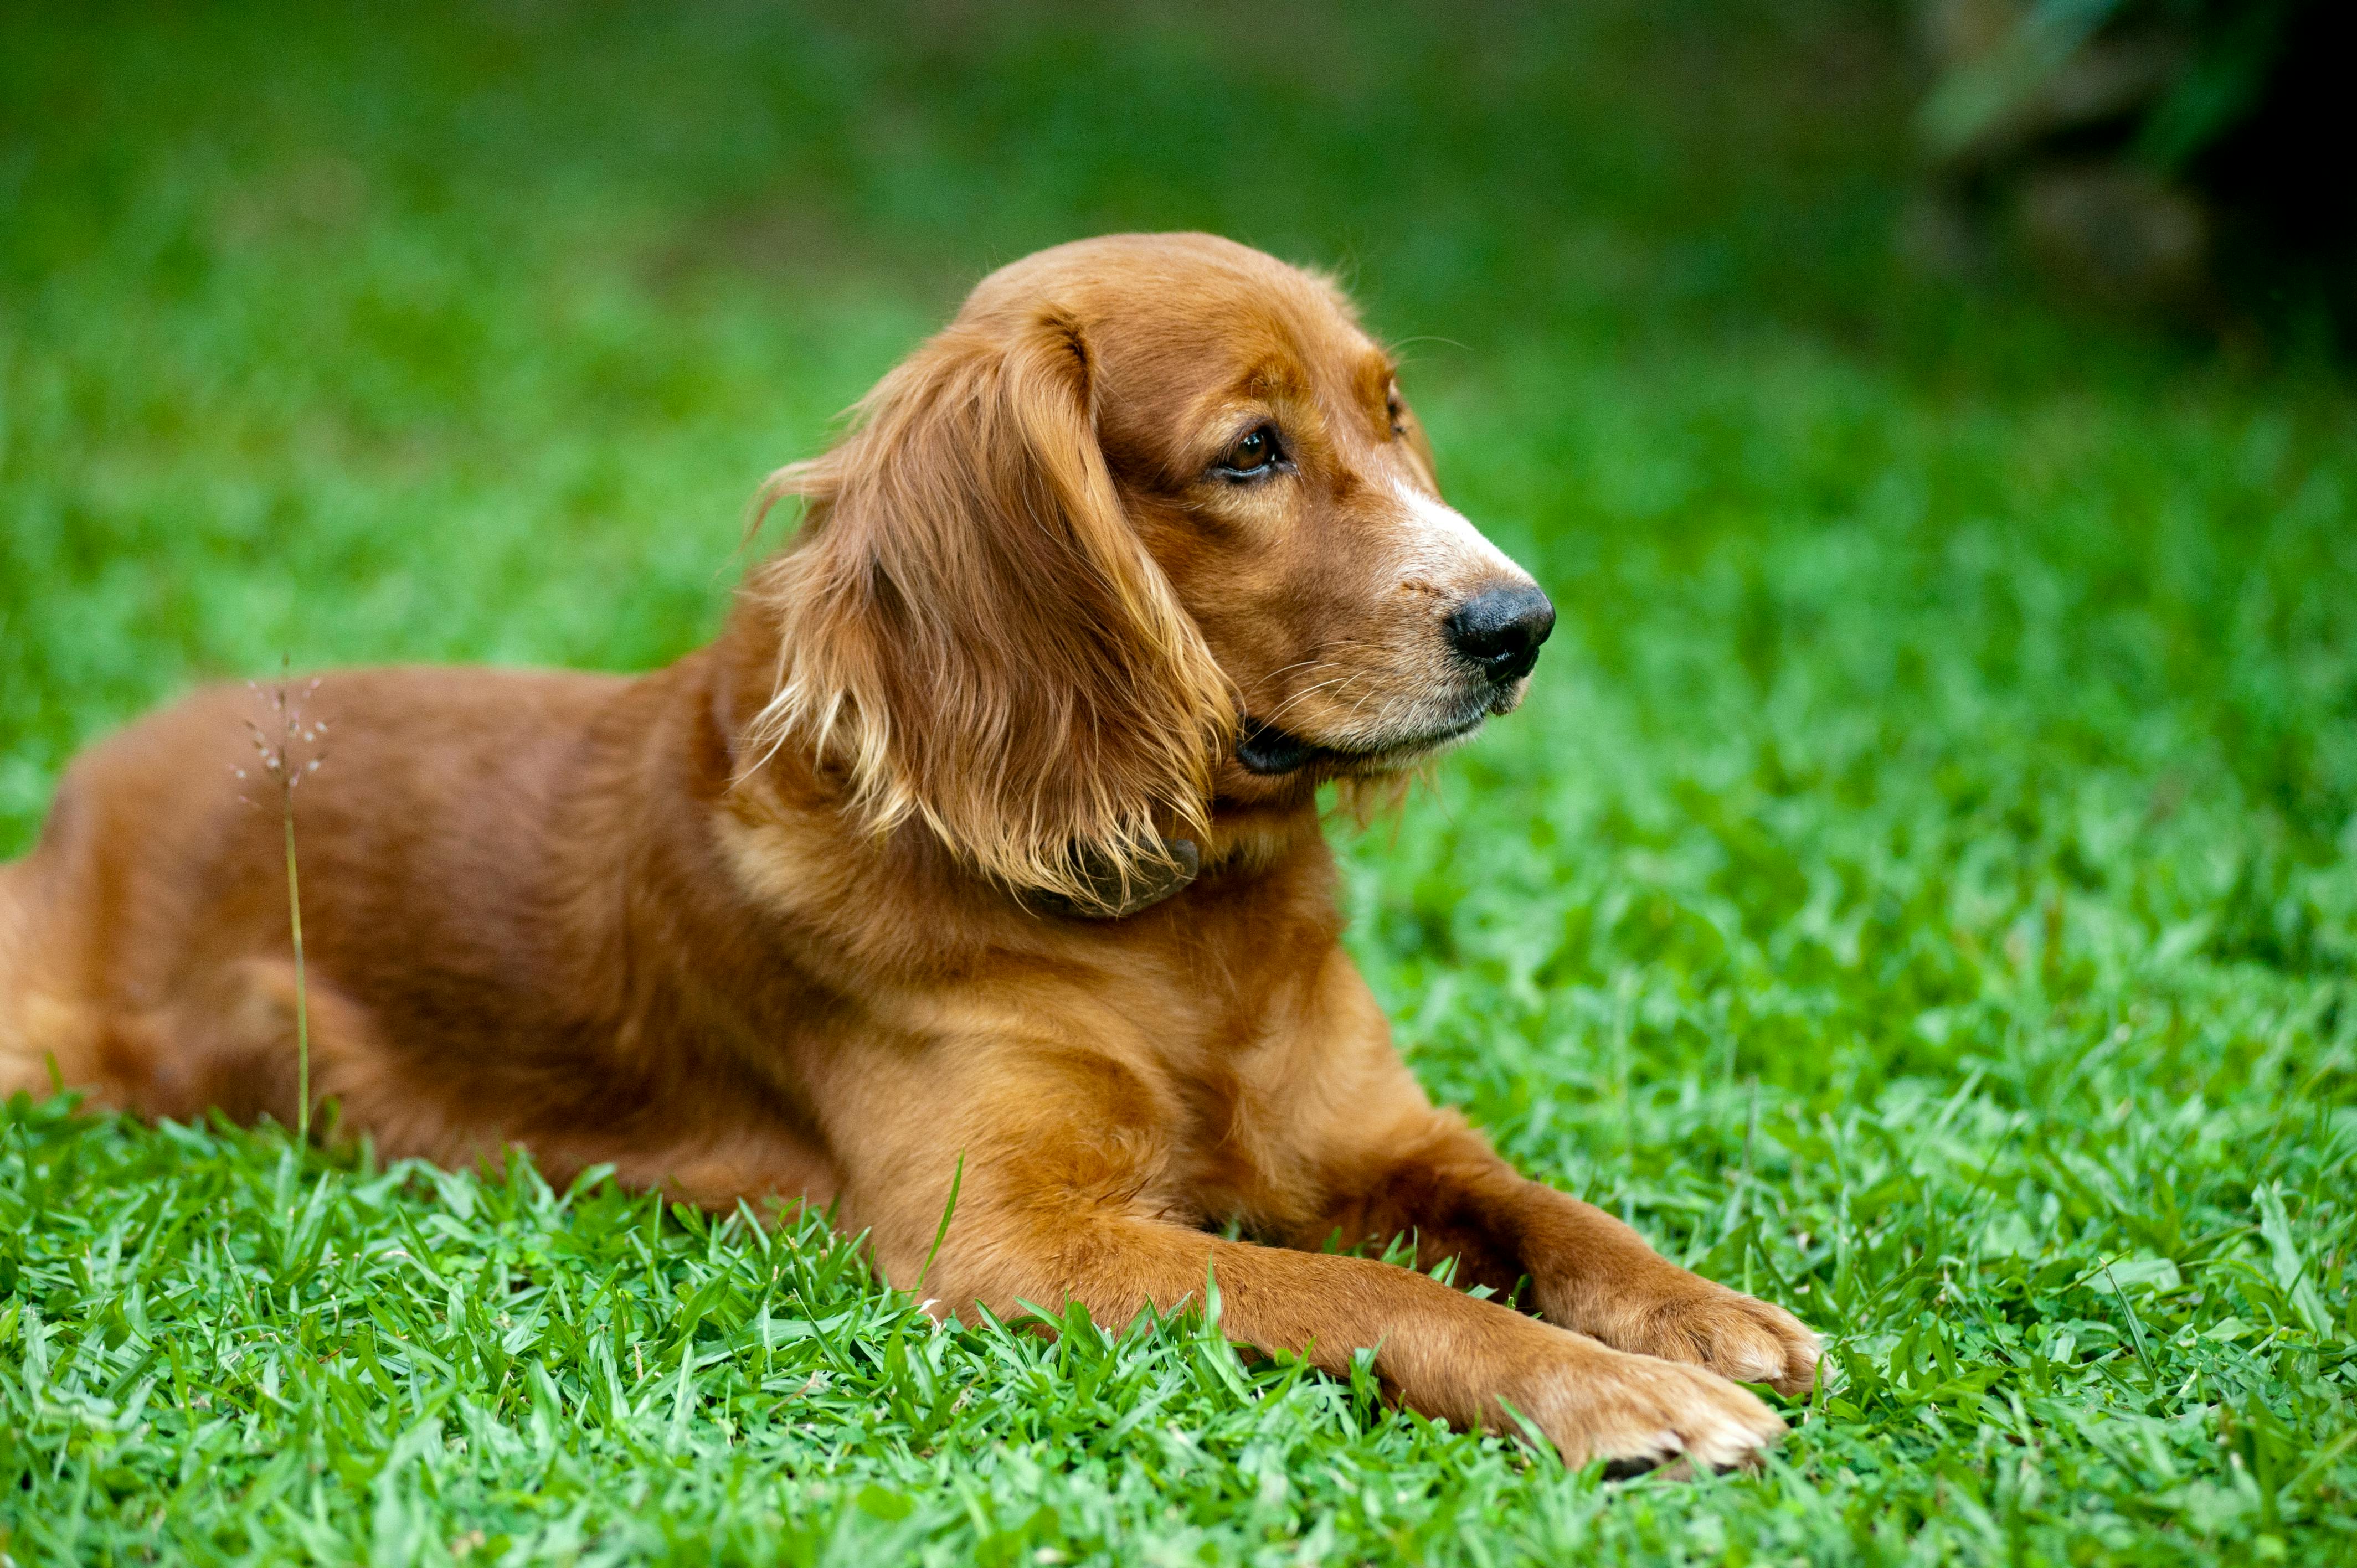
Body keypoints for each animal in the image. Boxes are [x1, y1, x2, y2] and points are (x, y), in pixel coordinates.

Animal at [0, 232, 1819, 1471]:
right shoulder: (1012, 1243)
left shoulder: (1379, 1131)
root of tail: (94, 778)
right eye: (1249, 452)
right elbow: (1373, 1297)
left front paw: (1697, 1311)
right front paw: (1616, 1393)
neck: (1176, 921)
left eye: (1390, 416)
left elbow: (1541, 1209)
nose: (1520, 624)